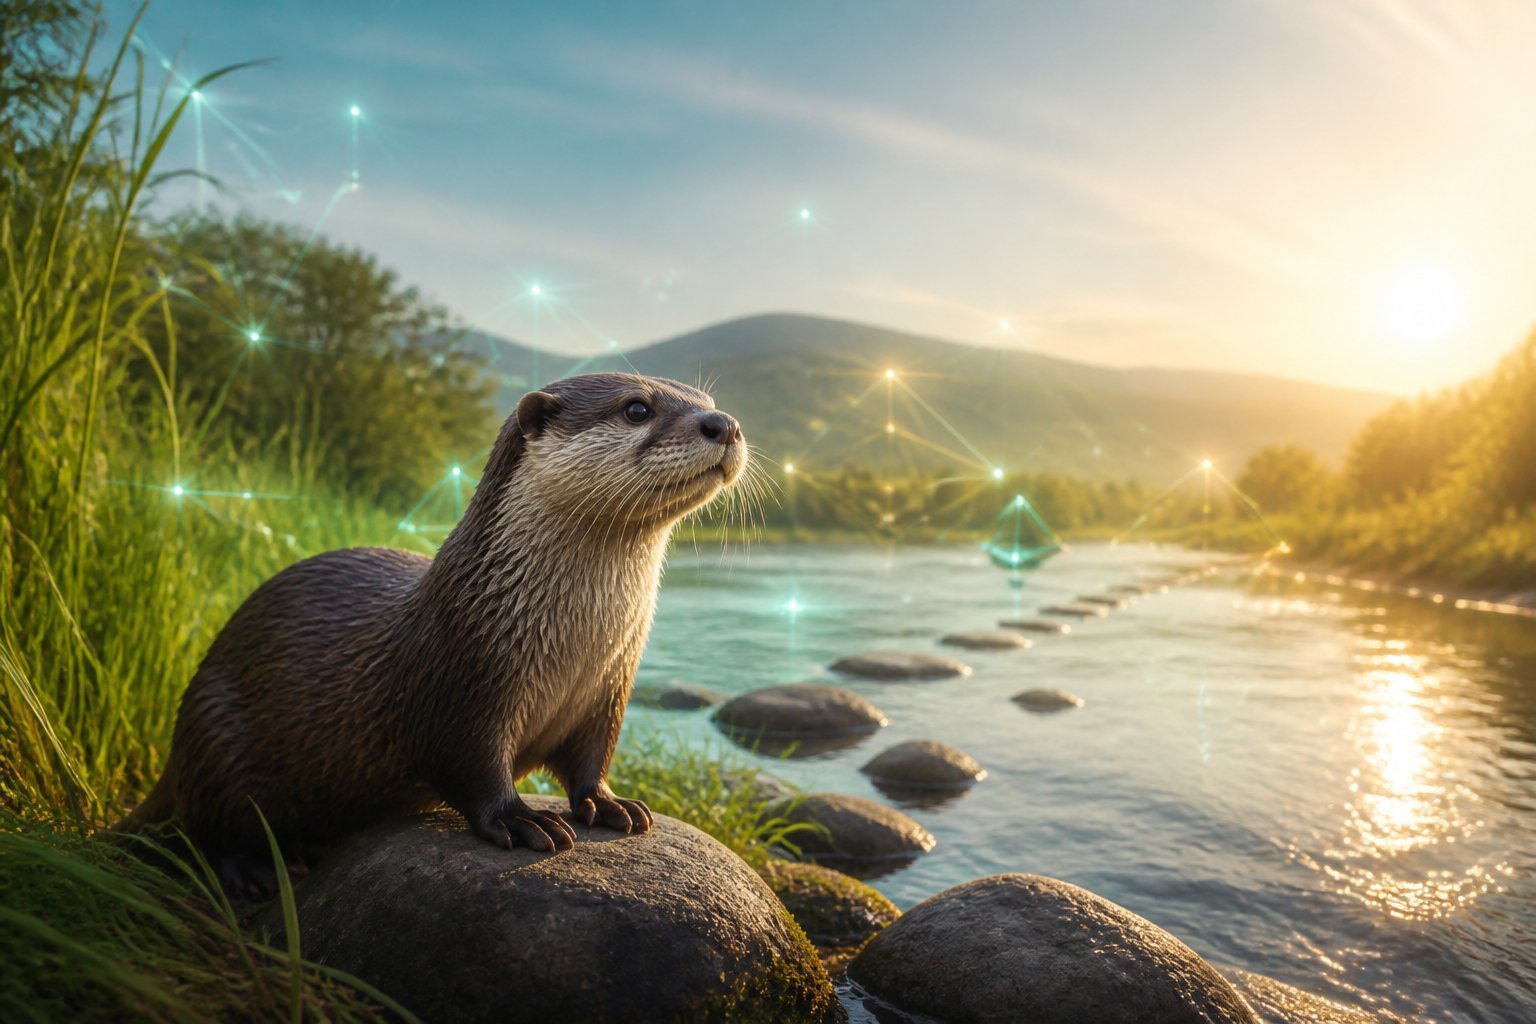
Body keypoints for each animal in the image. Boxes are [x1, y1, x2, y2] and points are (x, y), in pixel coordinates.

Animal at [118, 373, 746, 897]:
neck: (575, 646)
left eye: (708, 400)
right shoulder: (461, 678)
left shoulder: (609, 690)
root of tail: (175, 753)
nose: (725, 423)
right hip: (215, 732)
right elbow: (470, 765)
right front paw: (523, 819)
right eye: (637, 408)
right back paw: (258, 871)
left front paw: (611, 804)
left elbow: (591, 759)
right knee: (209, 828)